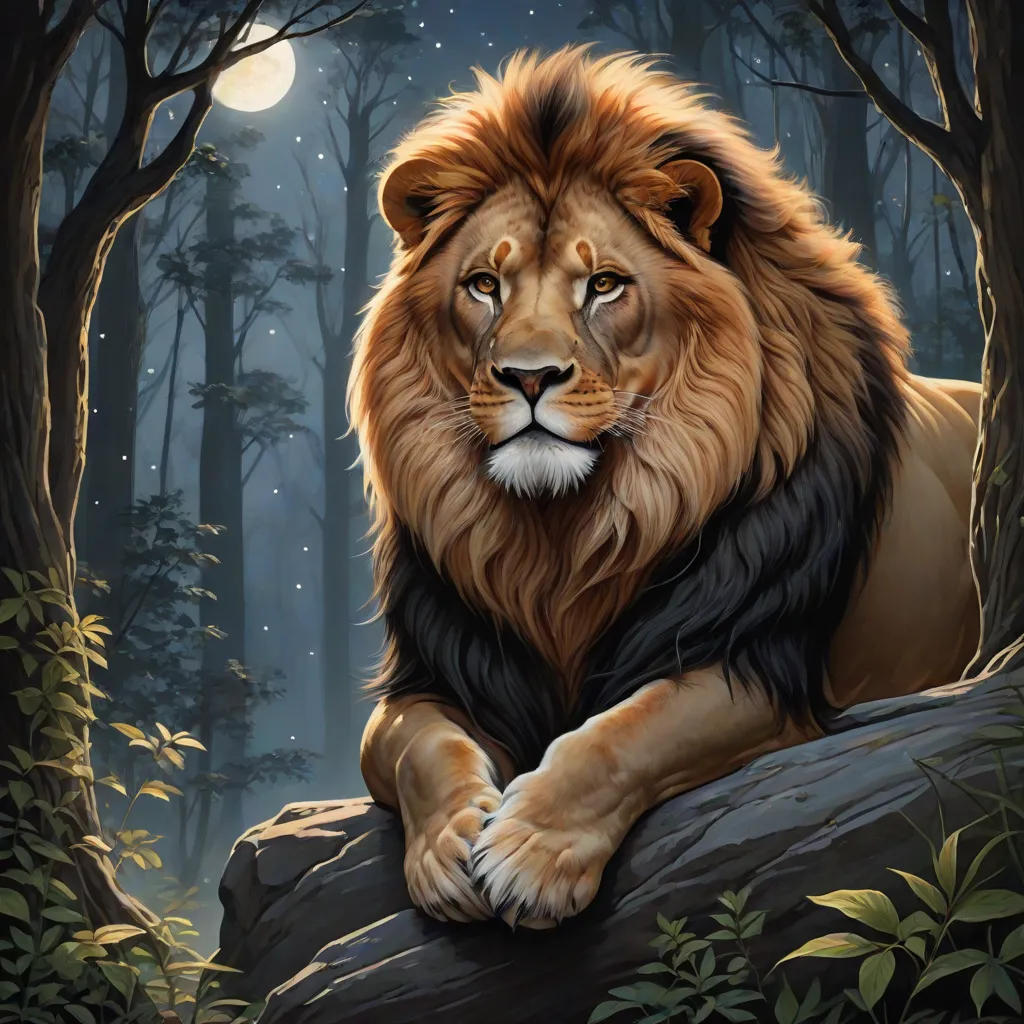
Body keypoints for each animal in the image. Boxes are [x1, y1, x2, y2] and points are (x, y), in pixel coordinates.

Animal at [348, 48, 982, 930]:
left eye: (605, 284)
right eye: (483, 285)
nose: (529, 377)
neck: (565, 536)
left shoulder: (756, 664)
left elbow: (622, 733)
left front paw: (529, 854)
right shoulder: (437, 672)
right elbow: (420, 745)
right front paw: (447, 848)